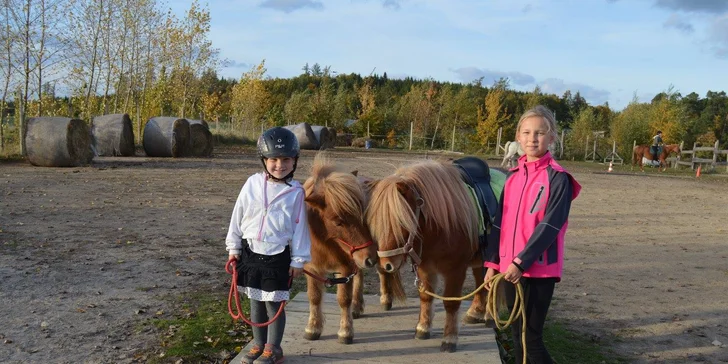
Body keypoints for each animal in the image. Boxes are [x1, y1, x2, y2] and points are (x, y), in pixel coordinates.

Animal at [302, 153, 404, 344]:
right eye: (338, 222)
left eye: (364, 215)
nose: (370, 256)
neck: (327, 243)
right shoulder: (312, 269)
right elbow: (314, 297)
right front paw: (313, 328)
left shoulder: (345, 267)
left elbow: (344, 299)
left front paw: (345, 332)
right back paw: (357, 307)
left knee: (381, 272)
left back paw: (385, 300)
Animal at [370, 160, 494, 352]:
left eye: (400, 221)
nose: (385, 265)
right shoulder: (425, 268)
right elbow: (426, 297)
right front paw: (423, 328)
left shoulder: (456, 270)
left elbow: (451, 303)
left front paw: (449, 339)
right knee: (482, 282)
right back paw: (475, 313)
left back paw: (489, 317)